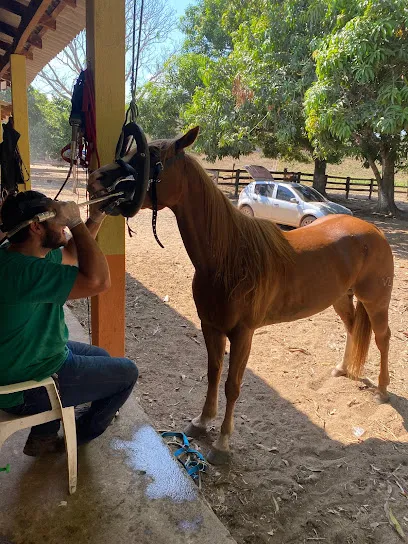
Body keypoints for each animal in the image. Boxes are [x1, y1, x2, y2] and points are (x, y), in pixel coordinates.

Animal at [88, 127, 392, 464]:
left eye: (150, 156)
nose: (97, 179)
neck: (228, 259)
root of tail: (374, 232)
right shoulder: (211, 326)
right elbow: (213, 373)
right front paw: (202, 422)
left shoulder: (243, 334)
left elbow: (232, 385)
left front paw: (222, 443)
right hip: (341, 298)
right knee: (352, 328)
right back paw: (343, 369)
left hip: (376, 301)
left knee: (382, 338)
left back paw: (382, 390)